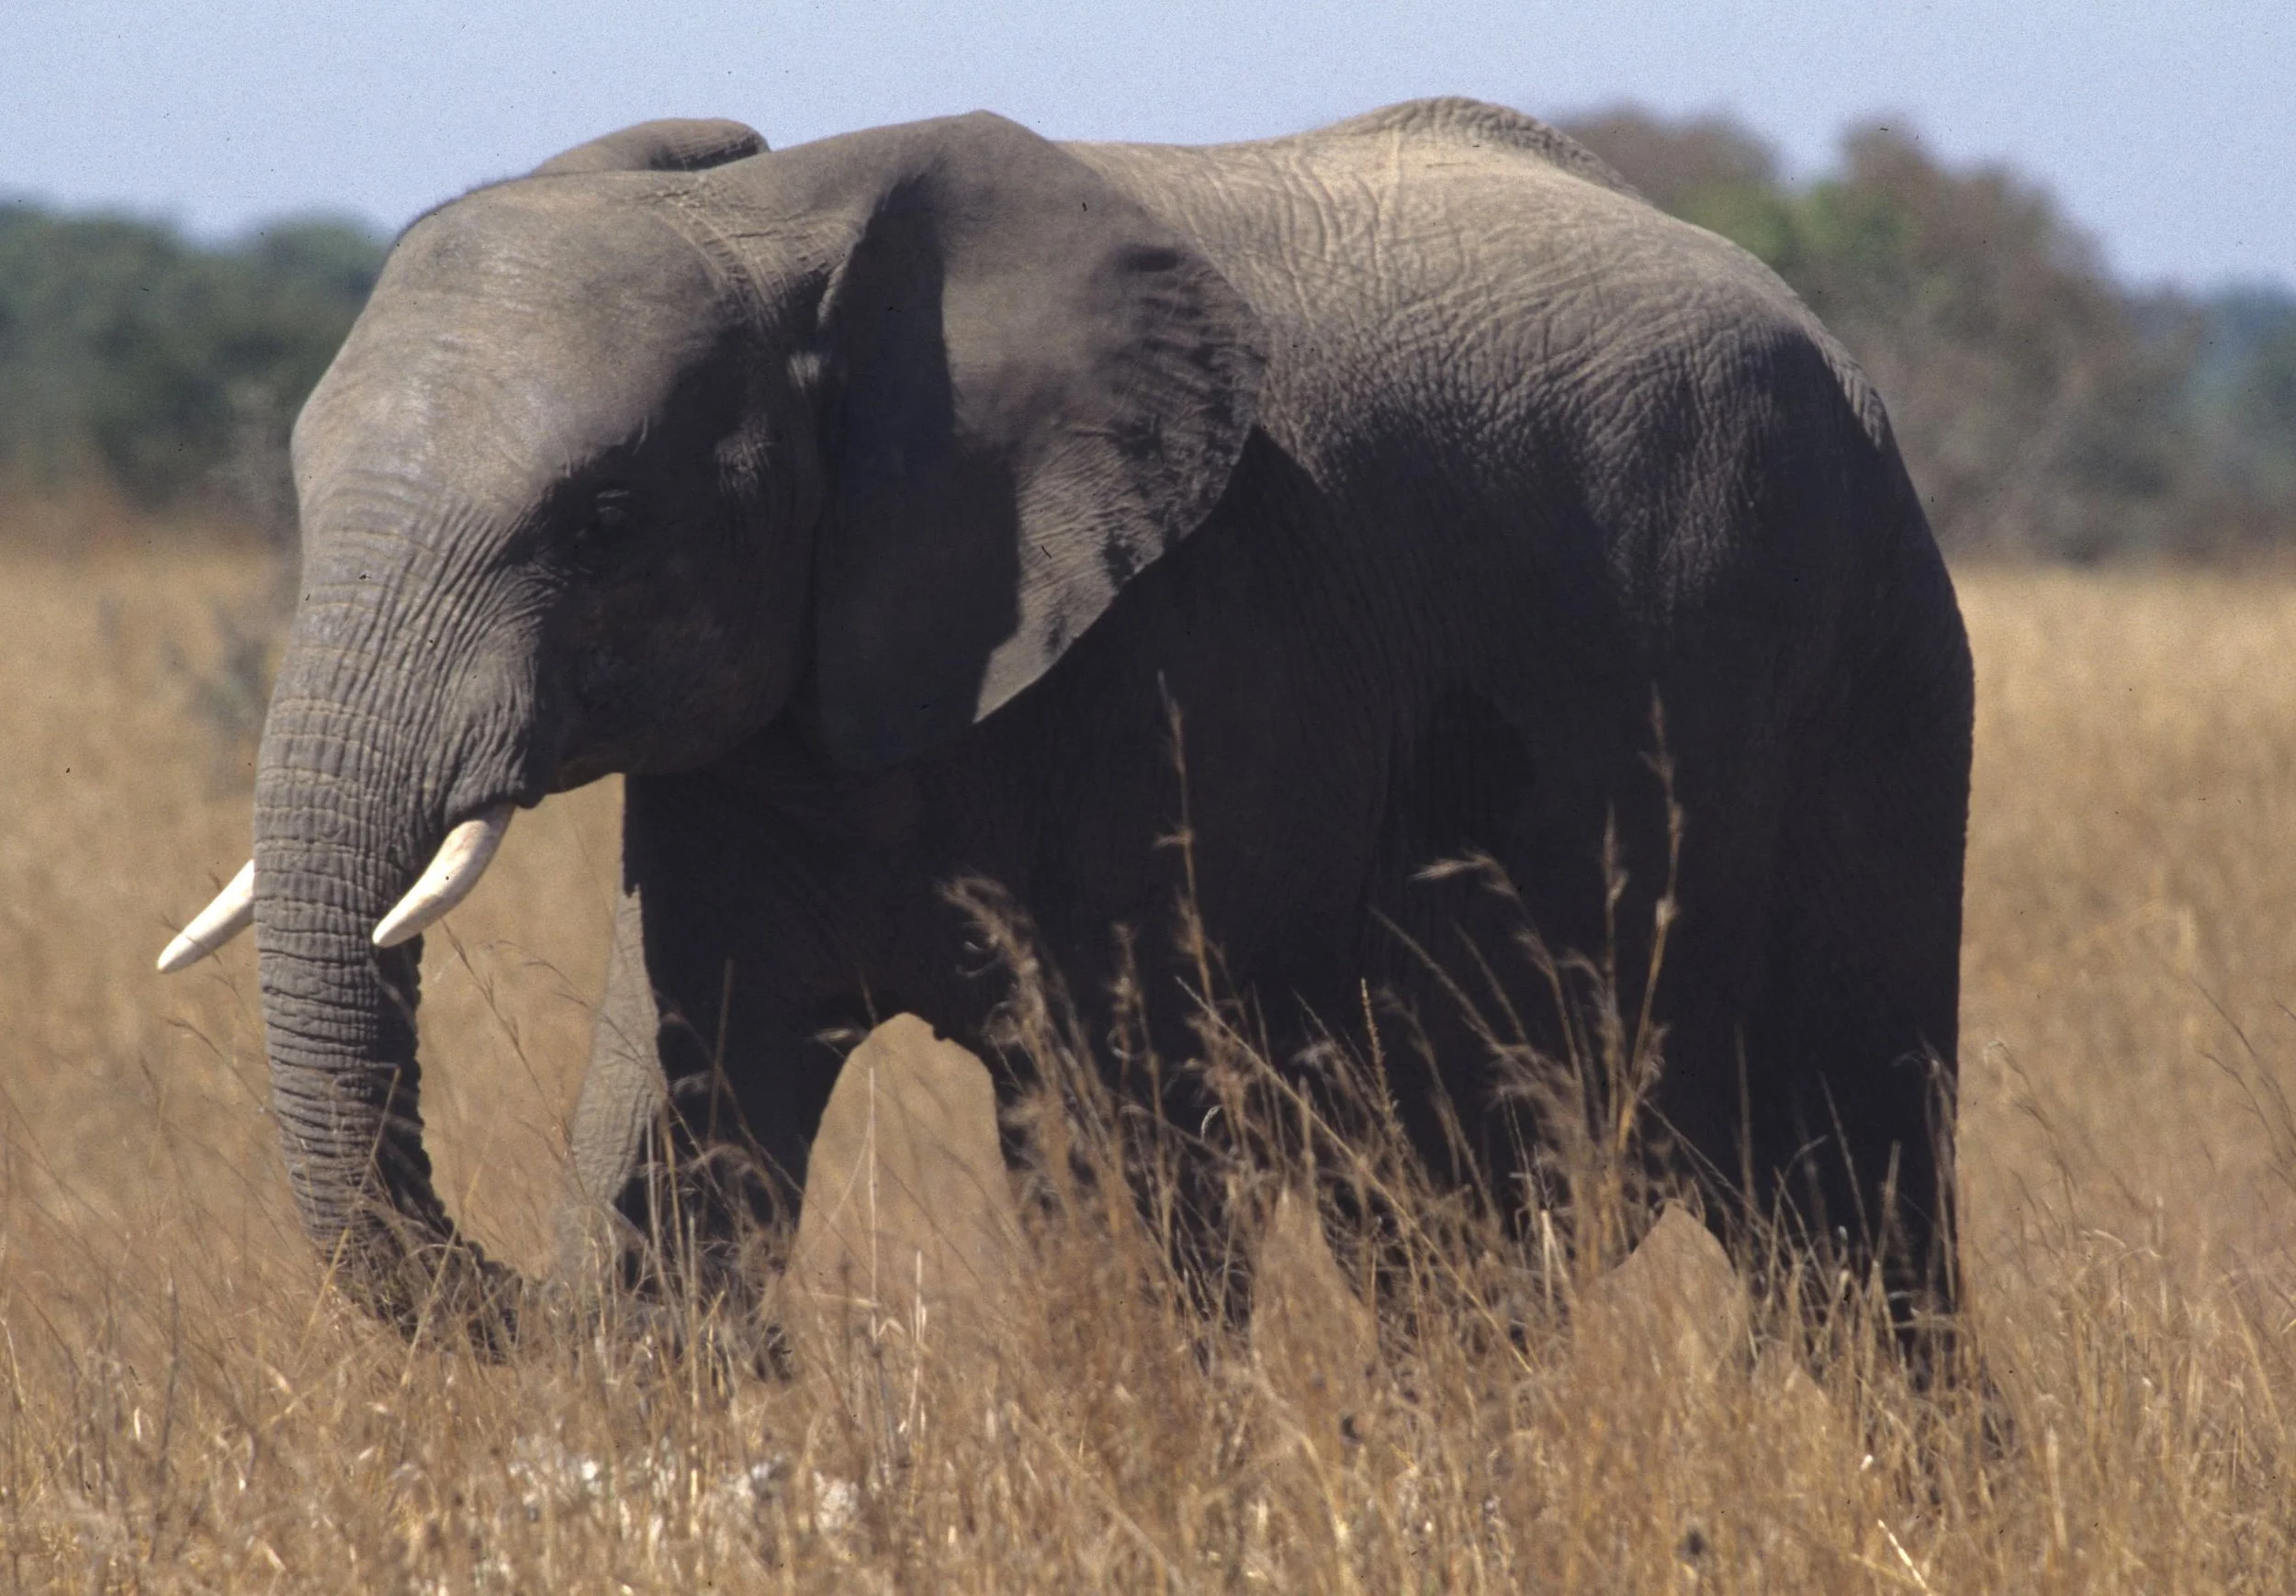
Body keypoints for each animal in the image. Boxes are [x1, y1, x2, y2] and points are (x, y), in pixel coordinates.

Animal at [157, 99, 1973, 1343]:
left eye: (602, 519)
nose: (800, 1354)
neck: (783, 222)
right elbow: (685, 1082)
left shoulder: (1191, 651)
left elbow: (1120, 1170)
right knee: (1445, 1247)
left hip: (1877, 677)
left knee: (1856, 1210)